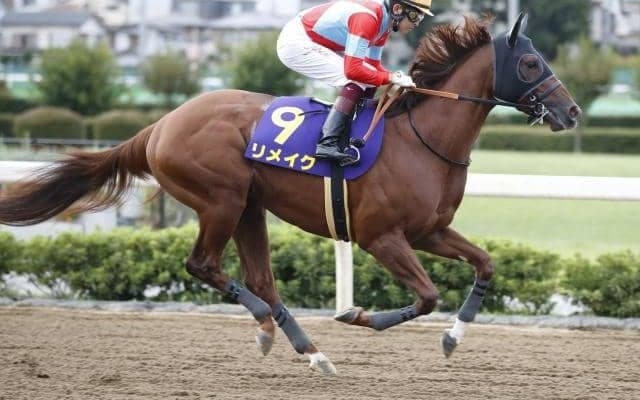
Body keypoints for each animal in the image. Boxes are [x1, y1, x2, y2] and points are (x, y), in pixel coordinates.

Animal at [0, 14, 580, 374]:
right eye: (531, 64)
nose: (571, 112)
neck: (423, 138)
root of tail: (159, 126)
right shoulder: (381, 236)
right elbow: (426, 295)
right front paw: (359, 316)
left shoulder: (430, 230)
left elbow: (484, 264)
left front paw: (453, 338)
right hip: (221, 199)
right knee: (204, 265)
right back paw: (269, 329)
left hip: (249, 207)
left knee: (260, 278)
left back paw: (308, 351)